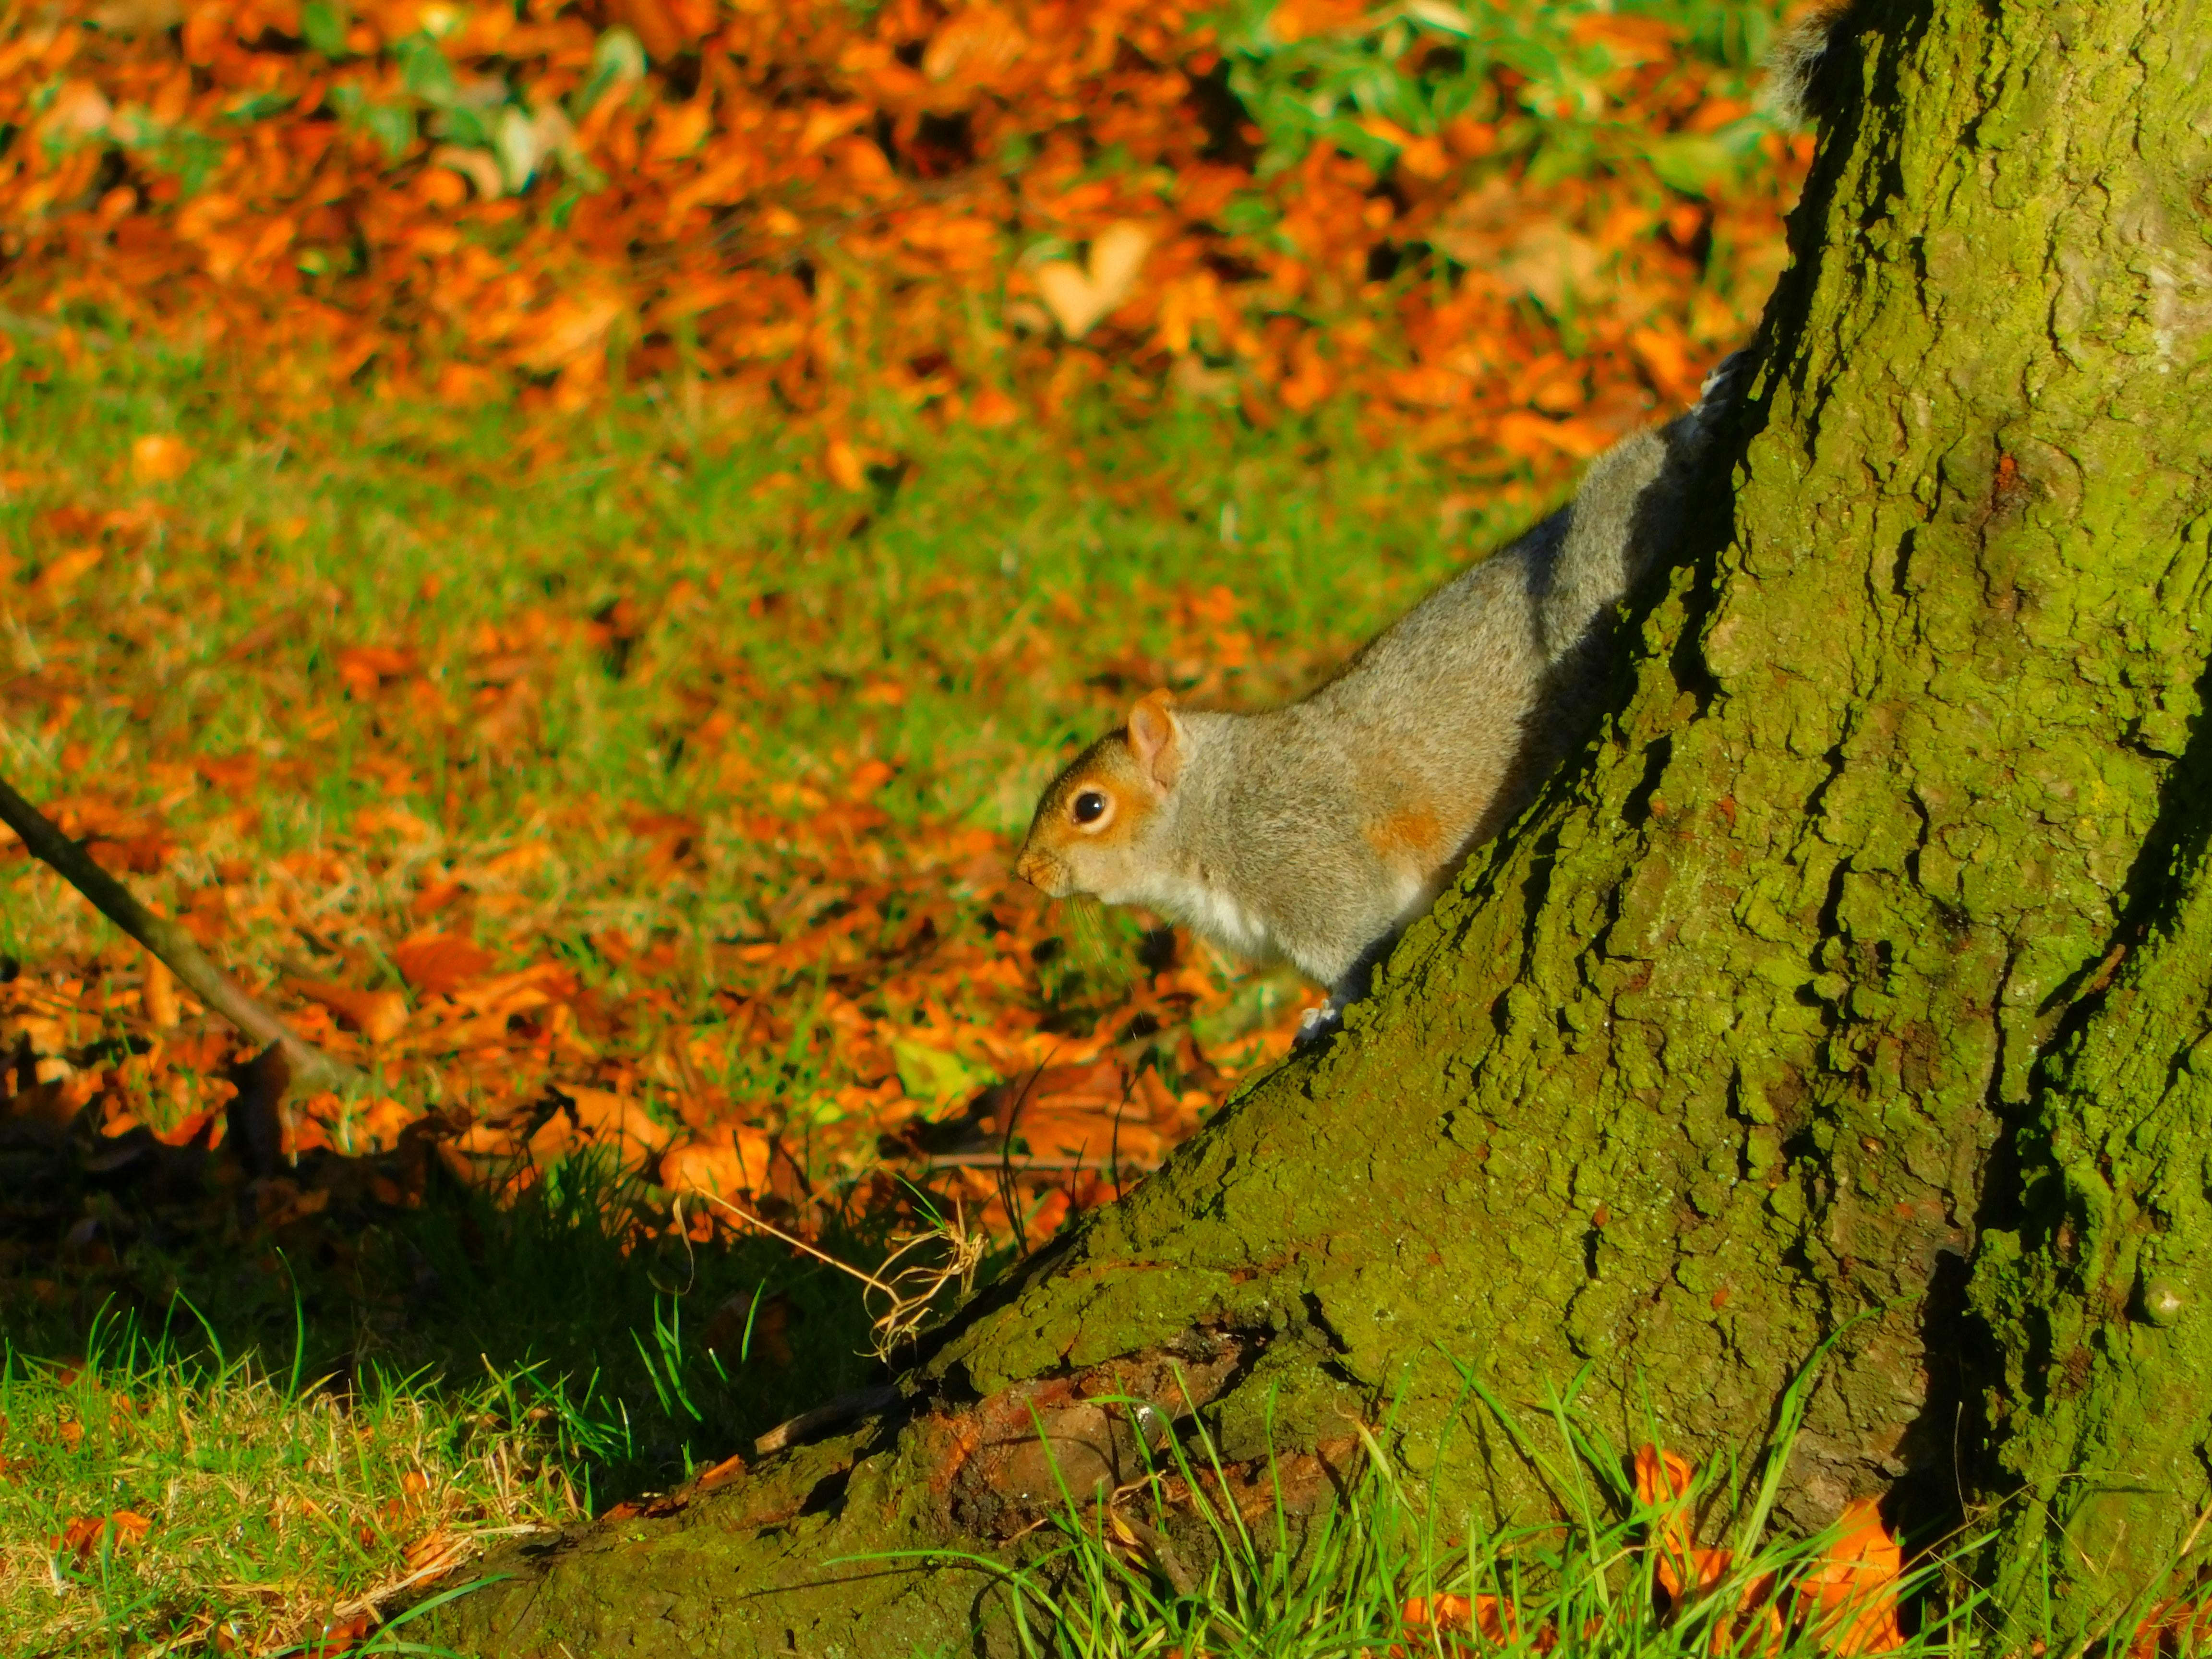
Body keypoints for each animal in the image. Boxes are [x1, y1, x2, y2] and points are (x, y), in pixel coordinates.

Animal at [1013, 358, 1743, 1039]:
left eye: (1090, 807)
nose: (1025, 872)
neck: (1209, 809)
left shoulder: (1304, 857)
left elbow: (1356, 950)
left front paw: (1327, 1010)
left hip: (1590, 593)